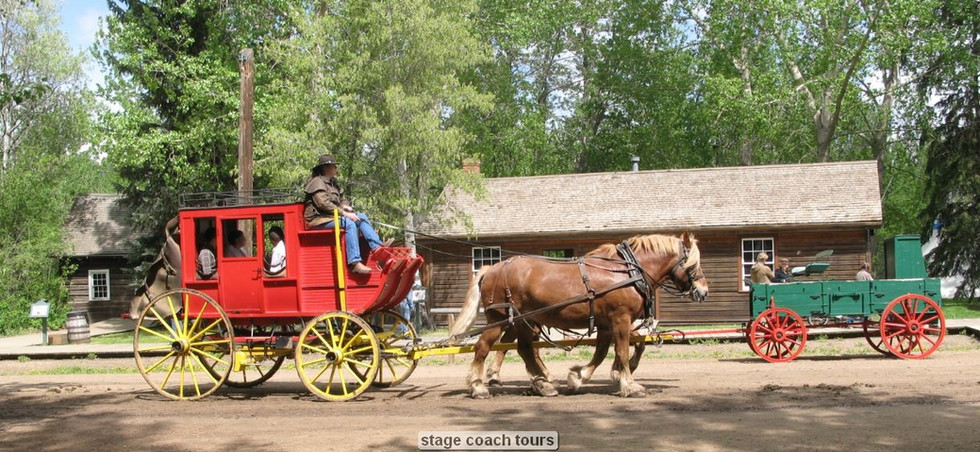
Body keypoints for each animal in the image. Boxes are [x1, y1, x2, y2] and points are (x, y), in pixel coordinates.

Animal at [450, 232, 708, 398]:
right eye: (694, 264)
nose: (703, 291)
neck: (628, 272)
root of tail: (492, 268)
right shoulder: (621, 320)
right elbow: (622, 352)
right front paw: (629, 385)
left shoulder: (606, 324)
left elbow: (602, 352)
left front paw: (579, 377)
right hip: (500, 319)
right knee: (483, 348)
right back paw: (478, 387)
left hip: (524, 321)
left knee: (525, 349)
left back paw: (543, 385)